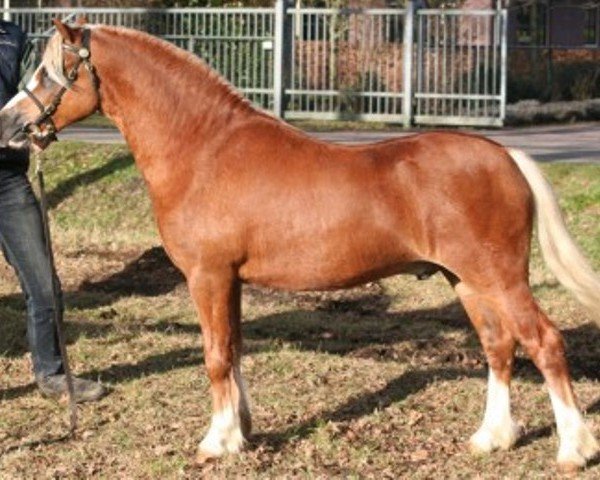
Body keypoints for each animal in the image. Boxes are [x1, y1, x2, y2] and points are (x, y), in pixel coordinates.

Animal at [1, 21, 600, 468]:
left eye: (49, 71)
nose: (10, 123)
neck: (202, 148)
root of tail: (503, 154)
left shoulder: (208, 276)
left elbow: (215, 356)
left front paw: (216, 442)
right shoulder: (230, 280)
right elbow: (234, 349)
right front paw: (240, 431)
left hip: (499, 277)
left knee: (544, 342)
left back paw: (573, 449)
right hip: (468, 281)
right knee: (499, 347)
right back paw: (491, 438)